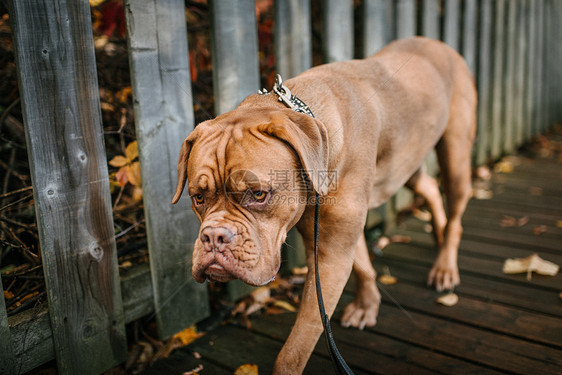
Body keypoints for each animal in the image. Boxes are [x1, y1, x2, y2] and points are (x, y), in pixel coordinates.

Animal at [171, 37, 472, 374]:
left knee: (456, 211)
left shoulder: (330, 254)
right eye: (198, 198)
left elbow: (294, 349)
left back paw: (445, 266)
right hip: (405, 165)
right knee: (429, 187)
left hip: (455, 157)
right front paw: (368, 304)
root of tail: (438, 44)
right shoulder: (331, 237)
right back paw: (438, 232)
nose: (213, 237)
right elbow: (362, 263)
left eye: (259, 195)